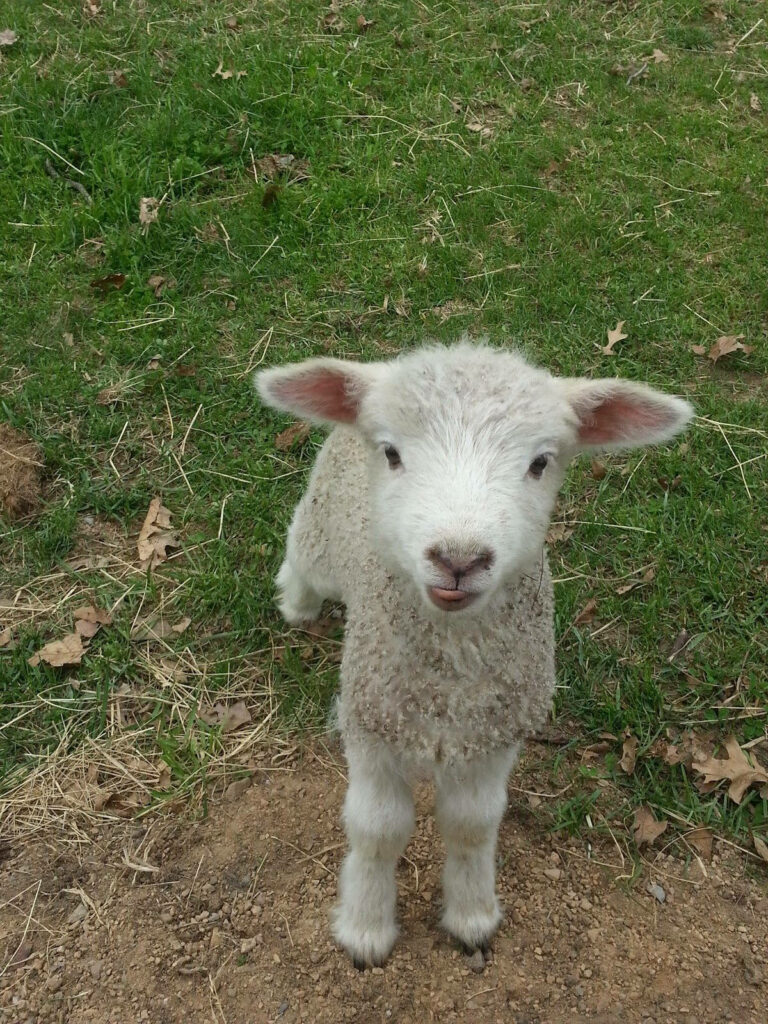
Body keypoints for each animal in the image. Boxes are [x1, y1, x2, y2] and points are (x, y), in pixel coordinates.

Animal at [256, 340, 692, 969]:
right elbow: (377, 831)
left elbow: (472, 827)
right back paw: (295, 603)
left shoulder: (493, 734)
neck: (449, 683)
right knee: (299, 549)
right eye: (392, 452)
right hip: (321, 524)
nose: (459, 559)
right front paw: (365, 927)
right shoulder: (370, 723)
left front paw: (472, 917)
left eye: (540, 463)